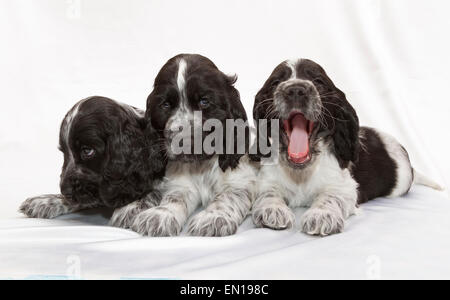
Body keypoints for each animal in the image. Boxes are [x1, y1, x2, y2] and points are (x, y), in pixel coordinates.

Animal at [19, 96, 165, 220]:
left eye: (87, 151)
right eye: (64, 152)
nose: (65, 190)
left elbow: (154, 191)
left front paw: (132, 206)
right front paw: (45, 201)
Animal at [116, 54, 256, 237]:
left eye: (204, 101)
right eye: (166, 105)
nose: (183, 140)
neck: (200, 166)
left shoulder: (240, 181)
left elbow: (228, 196)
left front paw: (213, 217)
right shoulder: (179, 183)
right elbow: (175, 197)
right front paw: (160, 215)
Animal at [251, 59, 444, 237]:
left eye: (318, 81)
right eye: (275, 82)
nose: (296, 90)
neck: (301, 173)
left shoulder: (345, 186)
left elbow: (331, 195)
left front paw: (321, 215)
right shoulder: (266, 180)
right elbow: (268, 192)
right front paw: (272, 209)